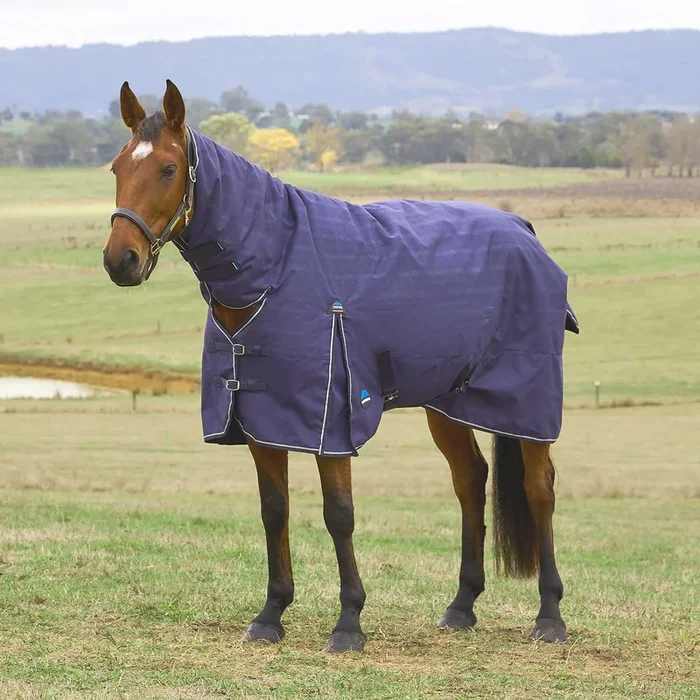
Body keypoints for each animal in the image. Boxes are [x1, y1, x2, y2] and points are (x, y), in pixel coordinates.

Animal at [103, 79, 578, 653]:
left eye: (168, 168)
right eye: (116, 167)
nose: (120, 260)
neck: (276, 266)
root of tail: (524, 231)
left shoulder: (330, 421)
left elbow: (339, 514)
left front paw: (349, 621)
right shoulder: (262, 419)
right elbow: (274, 510)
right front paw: (271, 614)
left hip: (527, 402)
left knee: (539, 488)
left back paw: (549, 616)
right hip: (447, 403)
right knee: (470, 481)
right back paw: (461, 606)